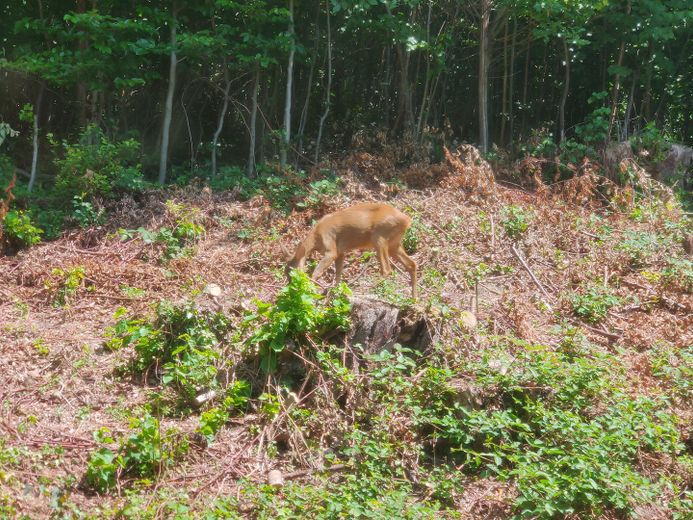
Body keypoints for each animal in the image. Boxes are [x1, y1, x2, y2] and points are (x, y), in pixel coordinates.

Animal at [284, 202, 418, 298]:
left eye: (291, 271)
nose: (291, 287)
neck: (316, 237)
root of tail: (407, 219)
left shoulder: (331, 246)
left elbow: (317, 272)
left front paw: (309, 288)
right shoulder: (341, 252)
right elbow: (338, 274)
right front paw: (335, 291)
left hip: (380, 236)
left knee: (387, 269)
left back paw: (367, 290)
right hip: (394, 244)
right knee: (411, 264)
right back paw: (413, 298)